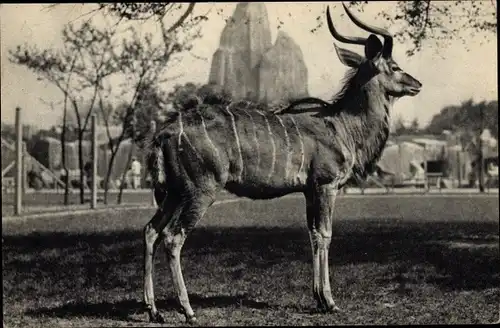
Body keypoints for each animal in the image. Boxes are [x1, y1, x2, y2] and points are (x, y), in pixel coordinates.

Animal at [142, 3, 422, 324]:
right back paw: (187, 310)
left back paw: (153, 310)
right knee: (173, 237)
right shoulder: (326, 186)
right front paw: (330, 301)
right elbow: (325, 234)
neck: (342, 125)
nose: (417, 84)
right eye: (395, 66)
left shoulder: (310, 190)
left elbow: (313, 234)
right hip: (200, 191)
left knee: (151, 231)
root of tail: (164, 132)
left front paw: (319, 299)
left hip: (174, 193)